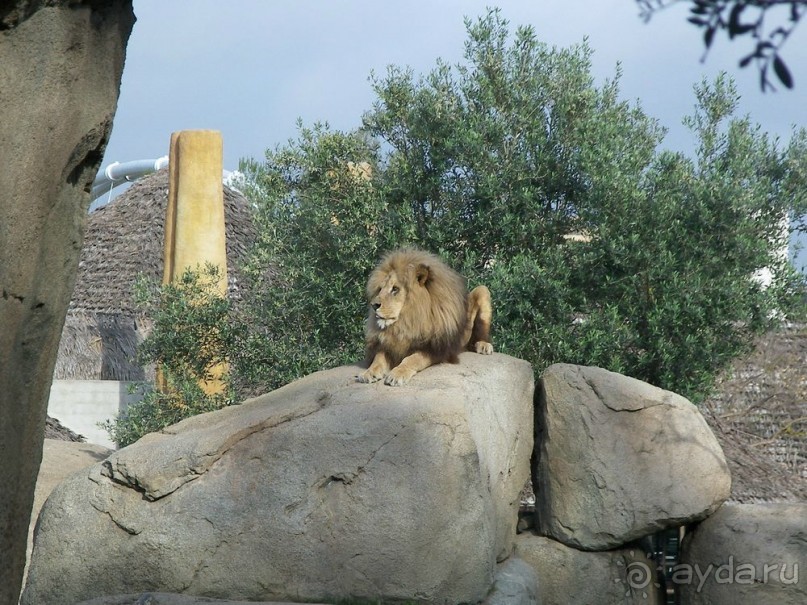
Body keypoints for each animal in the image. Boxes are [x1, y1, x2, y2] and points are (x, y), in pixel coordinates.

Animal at [358, 247, 496, 384]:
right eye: (380, 289)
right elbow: (378, 358)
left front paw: (397, 374)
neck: (407, 321)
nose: (373, 305)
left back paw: (483, 345)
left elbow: (413, 359)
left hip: (483, 290)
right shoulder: (388, 345)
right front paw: (369, 372)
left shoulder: (436, 349)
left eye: (395, 289)